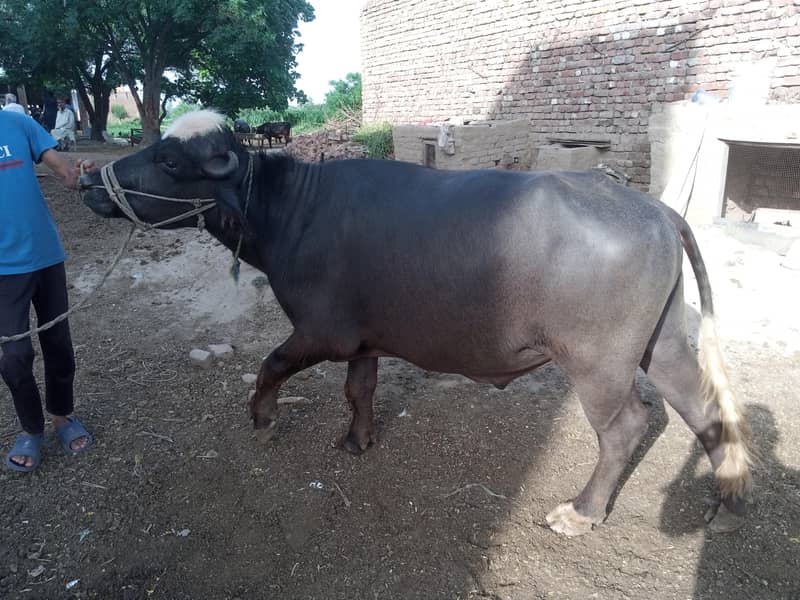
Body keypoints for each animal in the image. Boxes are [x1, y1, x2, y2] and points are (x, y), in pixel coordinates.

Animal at [80, 110, 751, 536]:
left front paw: (264, 419)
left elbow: (269, 365)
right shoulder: (364, 339)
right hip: (662, 342)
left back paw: (582, 512)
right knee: (702, 408)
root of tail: (654, 208)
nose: (88, 179)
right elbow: (359, 389)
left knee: (626, 426)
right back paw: (727, 499)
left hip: (598, 360)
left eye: (169, 159)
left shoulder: (321, 332)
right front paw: (358, 440)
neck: (291, 211)